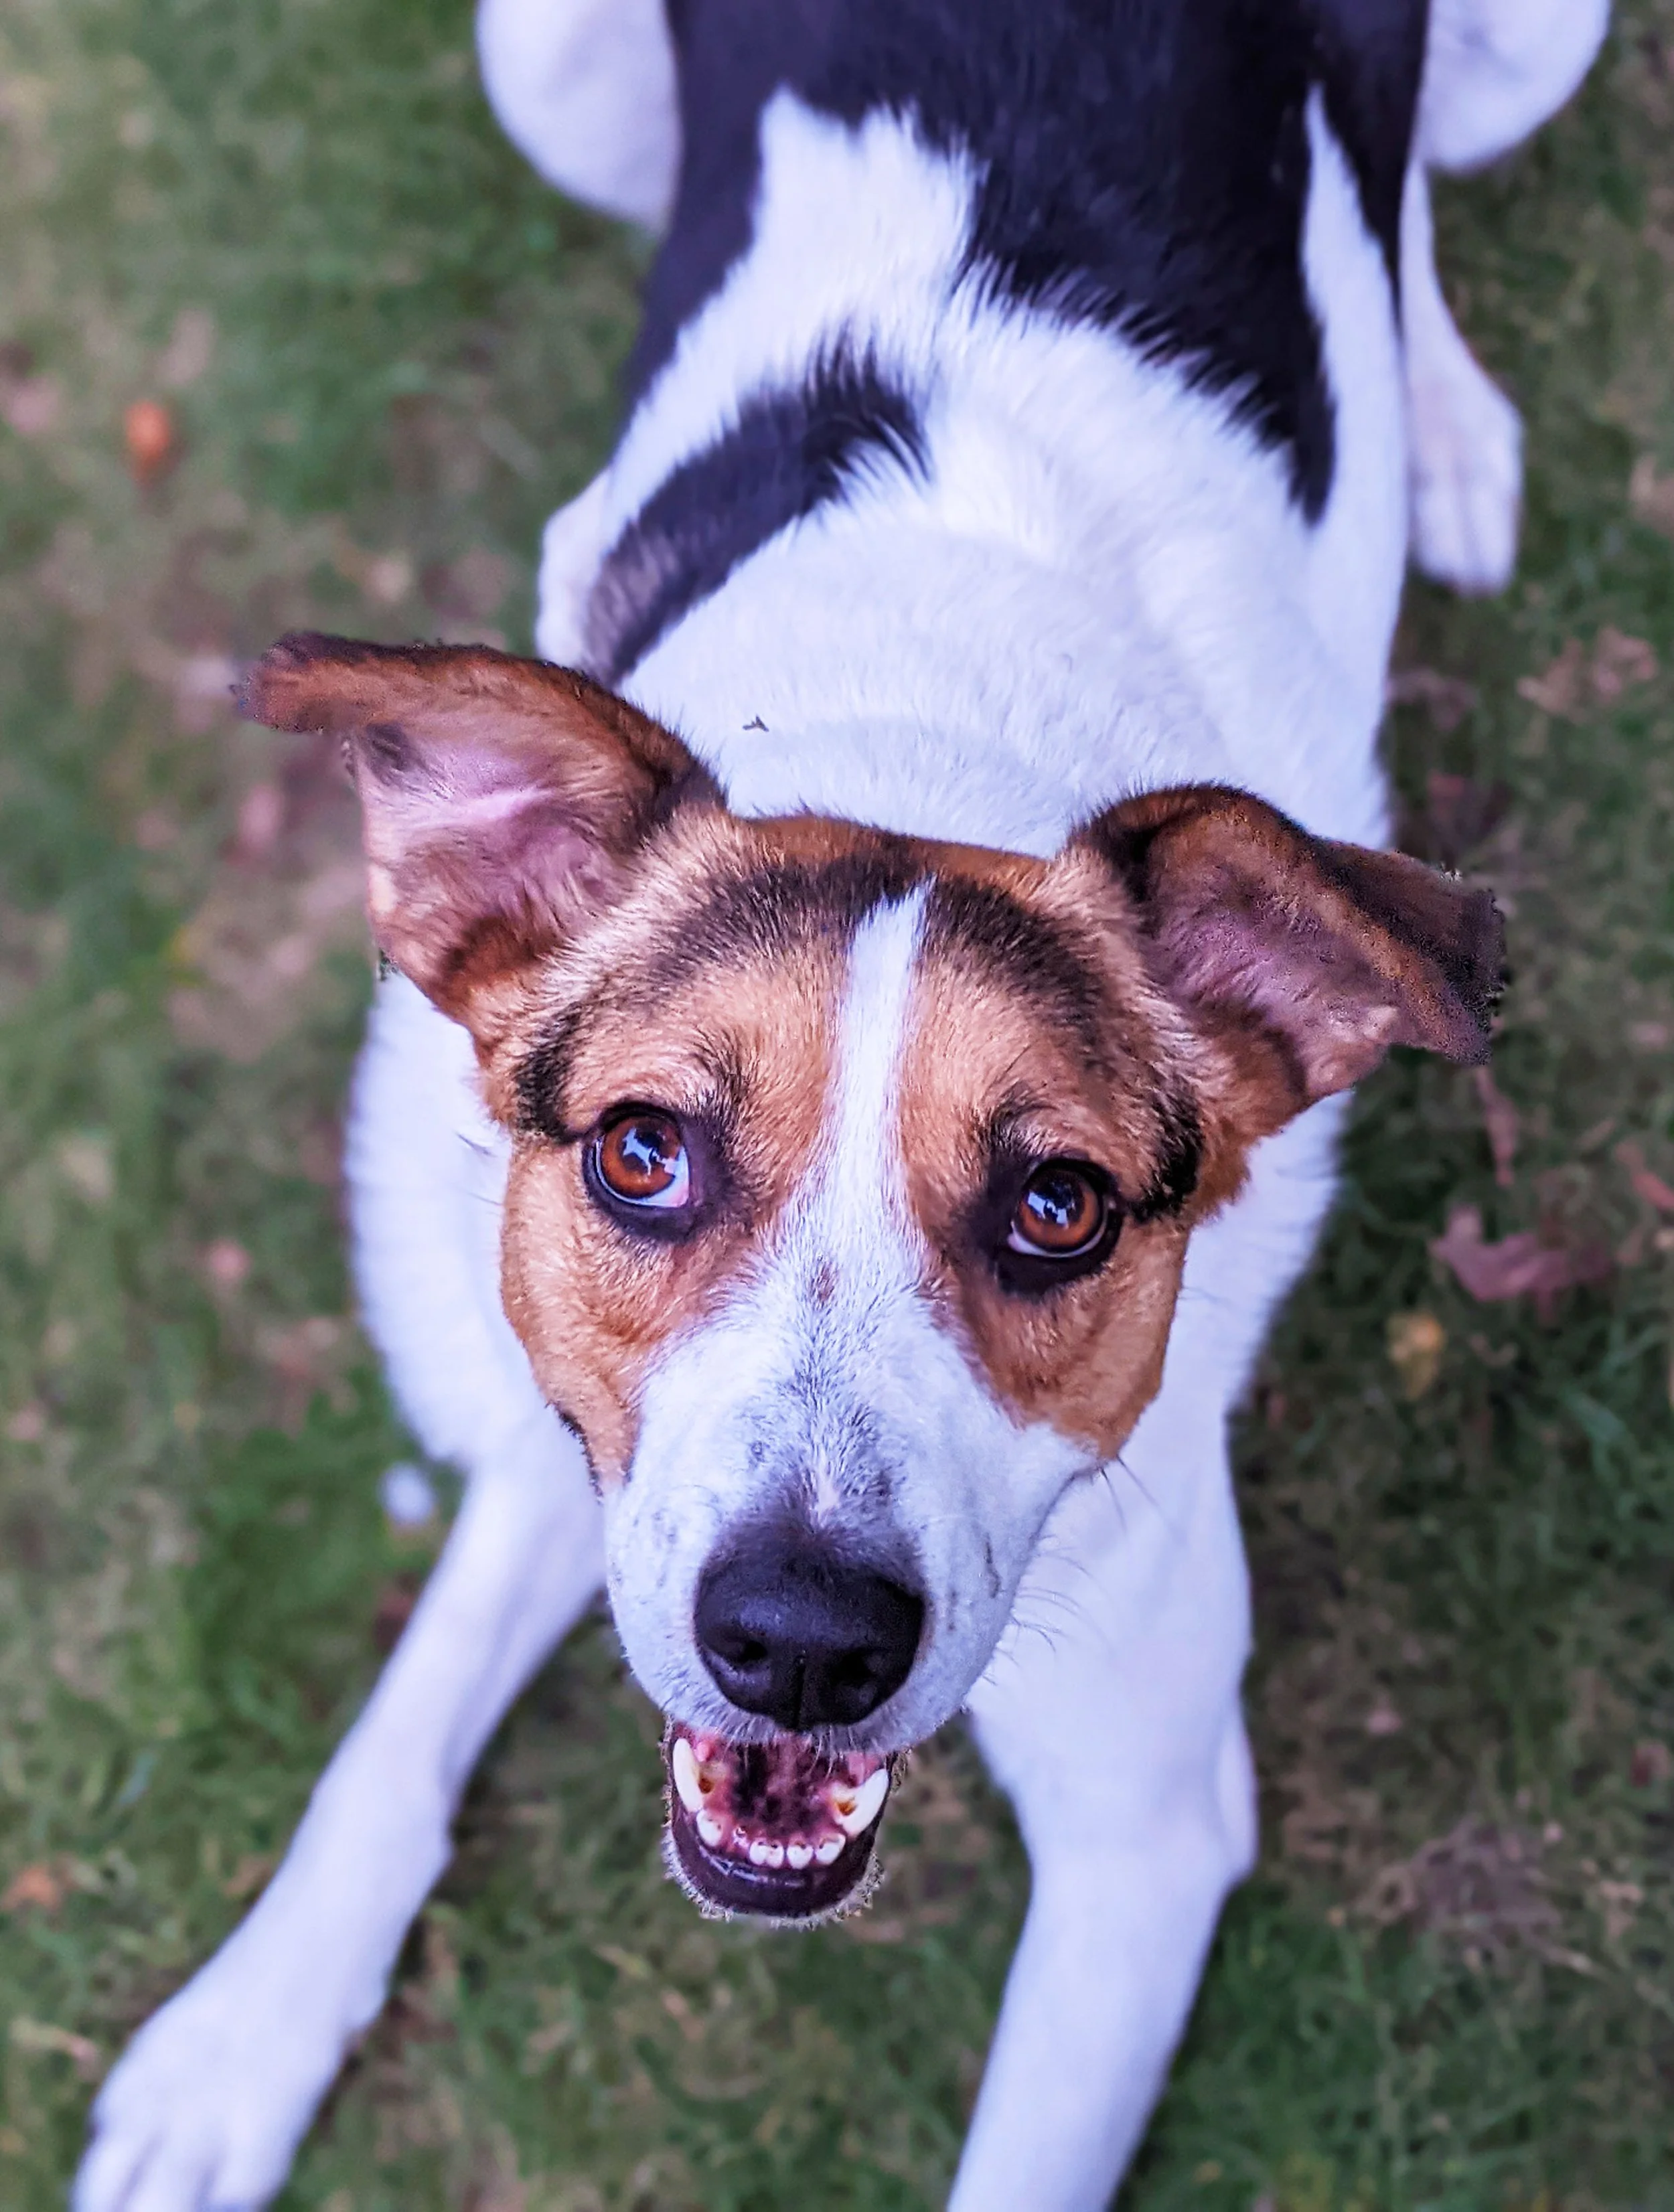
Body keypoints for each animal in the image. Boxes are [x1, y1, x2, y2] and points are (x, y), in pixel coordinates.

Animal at [76, 2, 1608, 2205]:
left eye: (1059, 1205)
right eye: (641, 1152)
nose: (798, 1643)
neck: (926, 735)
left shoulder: (1146, 1828)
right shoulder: (568, 1430)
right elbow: (398, 1721)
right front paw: (239, 2038)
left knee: (1405, 212)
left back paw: (1452, 432)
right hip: (542, 75)